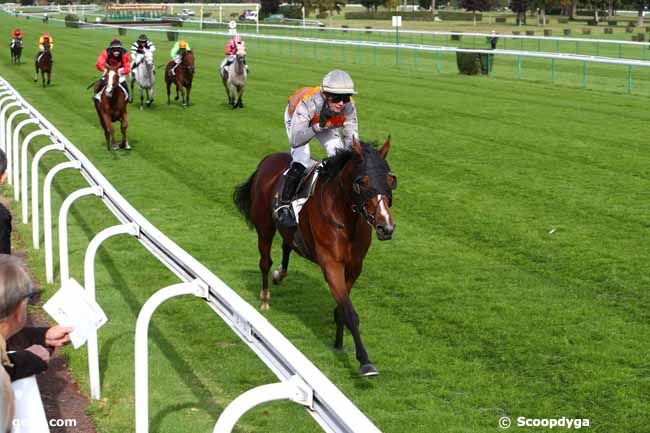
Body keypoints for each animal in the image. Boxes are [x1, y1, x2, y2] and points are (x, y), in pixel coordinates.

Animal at [233, 138, 394, 374]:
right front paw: (365, 361)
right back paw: (265, 298)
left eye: (391, 179)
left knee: (287, 244)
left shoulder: (355, 266)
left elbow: (342, 307)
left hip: (288, 230)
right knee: (264, 262)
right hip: (265, 227)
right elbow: (349, 311)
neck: (346, 219)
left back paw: (280, 274)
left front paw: (338, 342)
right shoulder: (331, 264)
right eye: (362, 181)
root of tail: (269, 158)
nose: (386, 227)